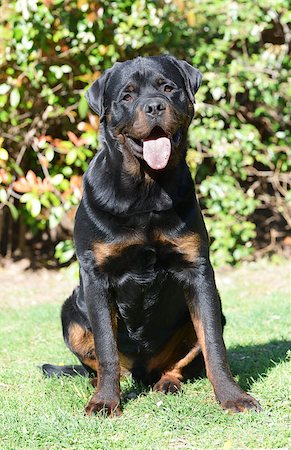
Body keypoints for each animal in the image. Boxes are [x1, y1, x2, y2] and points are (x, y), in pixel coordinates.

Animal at [43, 55, 262, 414]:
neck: (146, 190)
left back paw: (167, 383)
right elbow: (105, 346)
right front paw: (104, 402)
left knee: (179, 361)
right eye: (128, 95)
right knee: (99, 360)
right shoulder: (96, 275)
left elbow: (213, 343)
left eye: (168, 88)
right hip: (70, 312)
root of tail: (140, 372)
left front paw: (234, 397)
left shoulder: (197, 270)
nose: (155, 106)